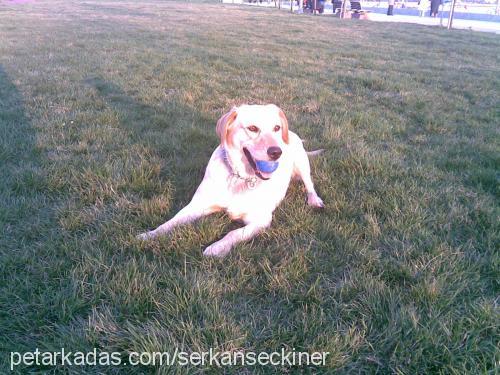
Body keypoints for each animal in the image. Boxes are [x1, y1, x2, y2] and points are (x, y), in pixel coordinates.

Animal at [138, 104, 324, 258]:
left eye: (276, 128)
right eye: (253, 128)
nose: (277, 152)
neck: (239, 177)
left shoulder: (261, 220)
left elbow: (233, 233)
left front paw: (217, 247)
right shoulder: (197, 206)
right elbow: (171, 222)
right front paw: (149, 235)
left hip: (302, 162)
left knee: (309, 184)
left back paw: (314, 200)